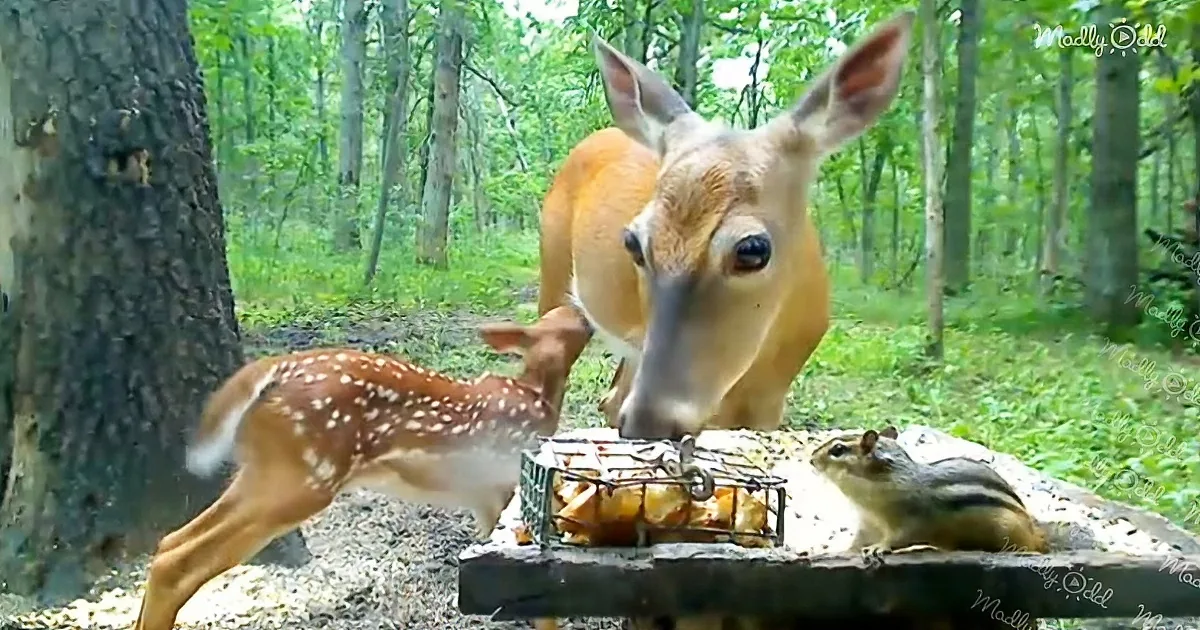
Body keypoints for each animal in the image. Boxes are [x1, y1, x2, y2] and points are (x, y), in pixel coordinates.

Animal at [132, 305, 592, 630]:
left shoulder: (483, 499)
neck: (538, 396)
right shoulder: (505, 486)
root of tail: (271, 371)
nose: (585, 311)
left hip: (264, 470)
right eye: (572, 321)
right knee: (182, 559)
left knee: (170, 544)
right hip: (305, 477)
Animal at [810, 426, 1050, 568]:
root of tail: (1035, 532)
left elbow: (899, 537)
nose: (811, 458)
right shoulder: (867, 523)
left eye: (837, 449)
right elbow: (856, 543)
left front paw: (879, 547)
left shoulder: (912, 518)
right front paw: (834, 553)